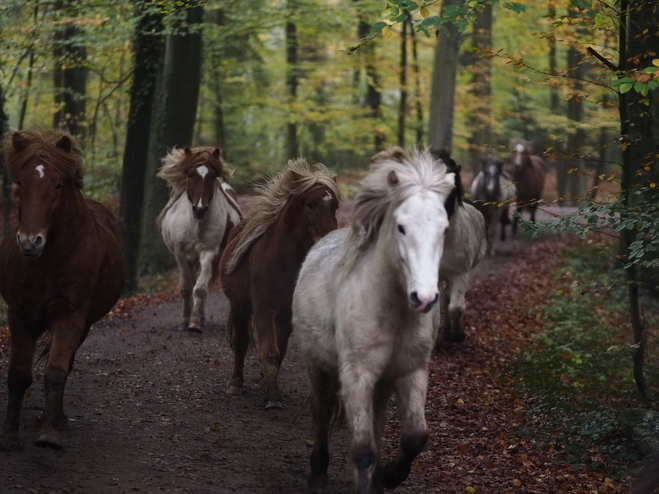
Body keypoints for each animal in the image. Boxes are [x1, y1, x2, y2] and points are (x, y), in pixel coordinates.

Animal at [0, 129, 125, 450]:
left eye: (58, 184)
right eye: (20, 182)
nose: (30, 242)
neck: (49, 260)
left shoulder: (71, 317)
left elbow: (56, 372)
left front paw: (50, 433)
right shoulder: (20, 315)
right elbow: (18, 374)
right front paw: (9, 434)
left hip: (85, 325)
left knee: (65, 367)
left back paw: (57, 418)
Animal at [157, 146, 242, 332]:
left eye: (212, 176)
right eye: (190, 175)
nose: (200, 209)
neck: (196, 224)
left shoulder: (209, 252)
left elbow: (200, 288)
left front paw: (195, 322)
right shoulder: (180, 253)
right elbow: (185, 287)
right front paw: (184, 321)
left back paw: (201, 318)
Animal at [220, 158, 340, 410]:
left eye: (335, 206)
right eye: (310, 204)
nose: (329, 241)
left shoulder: (286, 315)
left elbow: (279, 351)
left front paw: (271, 386)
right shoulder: (264, 310)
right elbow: (270, 351)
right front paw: (272, 397)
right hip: (239, 307)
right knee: (240, 343)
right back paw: (235, 384)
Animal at [292, 151, 456, 494]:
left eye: (444, 229)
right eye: (401, 227)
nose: (424, 297)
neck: (392, 313)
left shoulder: (411, 372)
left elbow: (415, 437)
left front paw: (388, 476)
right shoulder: (358, 375)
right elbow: (363, 450)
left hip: (383, 384)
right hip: (319, 366)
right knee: (322, 410)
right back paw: (318, 472)